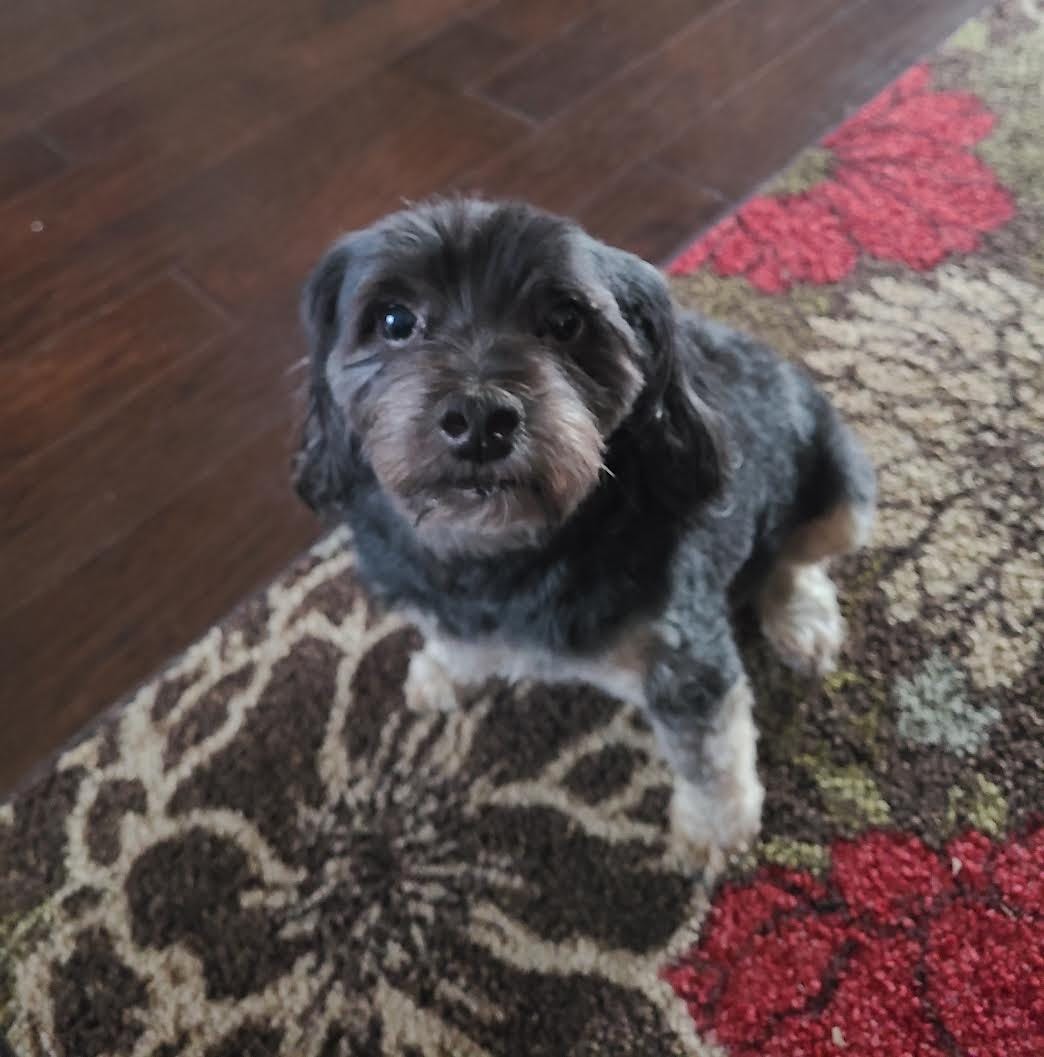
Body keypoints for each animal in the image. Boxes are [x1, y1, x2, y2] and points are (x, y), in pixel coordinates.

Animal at [294, 197, 875, 870]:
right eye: (393, 319)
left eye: (566, 321)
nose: (480, 418)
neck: (498, 553)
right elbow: (452, 634)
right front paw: (447, 669)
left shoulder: (684, 657)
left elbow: (709, 752)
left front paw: (714, 830)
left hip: (842, 490)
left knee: (792, 557)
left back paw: (801, 617)